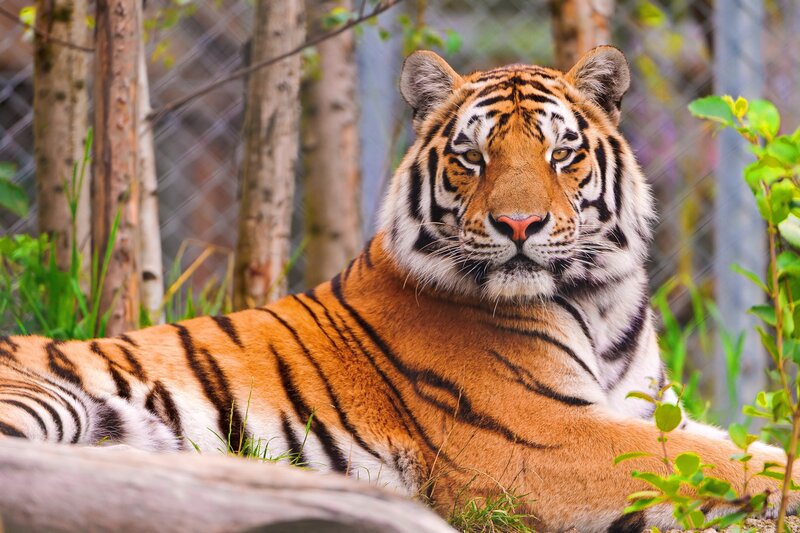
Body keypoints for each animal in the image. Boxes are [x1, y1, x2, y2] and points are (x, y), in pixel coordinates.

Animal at [0, 46, 797, 532]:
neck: (599, 301)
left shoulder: (646, 408)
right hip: (47, 397)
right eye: (473, 157)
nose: (518, 224)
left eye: (559, 153)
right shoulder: (541, 438)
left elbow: (729, 445)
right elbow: (715, 462)